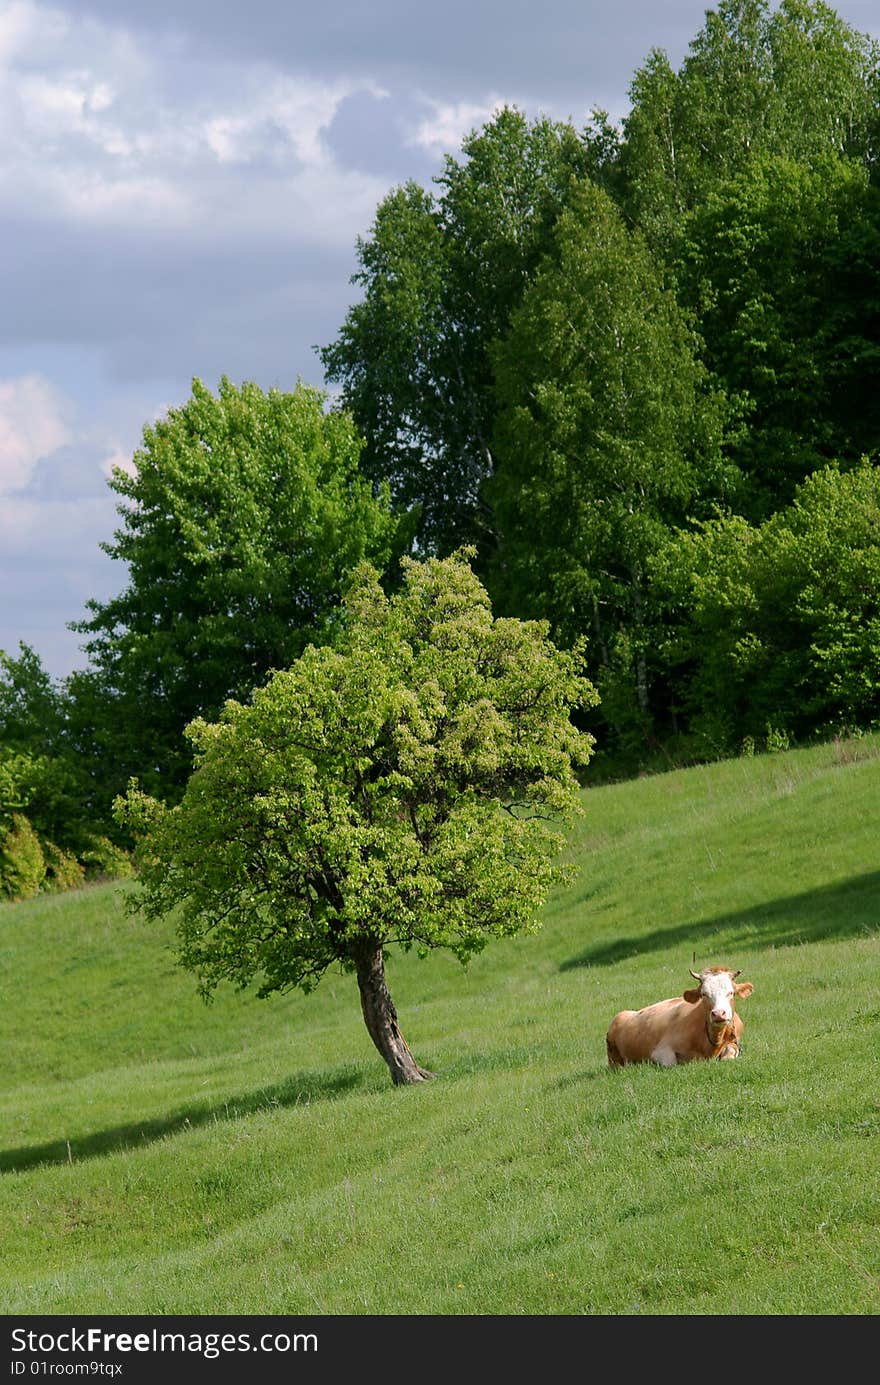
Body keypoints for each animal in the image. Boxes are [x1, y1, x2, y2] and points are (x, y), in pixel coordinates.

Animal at [606, 969, 759, 1063]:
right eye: (703, 994)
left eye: (731, 992)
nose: (718, 1014)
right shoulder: (660, 1051)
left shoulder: (734, 1042)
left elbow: (729, 1055)